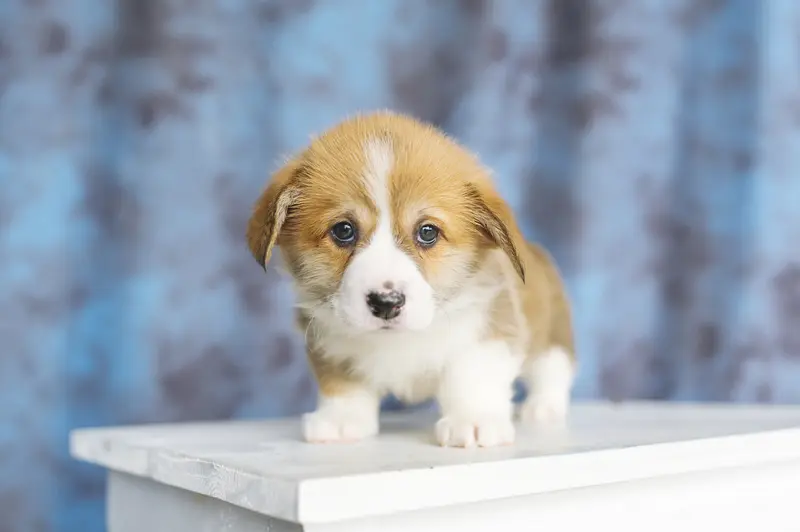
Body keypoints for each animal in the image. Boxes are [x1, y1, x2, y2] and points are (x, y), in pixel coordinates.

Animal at [244, 112, 576, 448]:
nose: (386, 302)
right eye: (343, 230)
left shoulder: (490, 330)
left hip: (553, 333)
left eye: (427, 232)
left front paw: (472, 421)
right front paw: (341, 421)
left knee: (554, 367)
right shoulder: (329, 343)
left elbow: (472, 375)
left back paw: (544, 406)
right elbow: (343, 383)